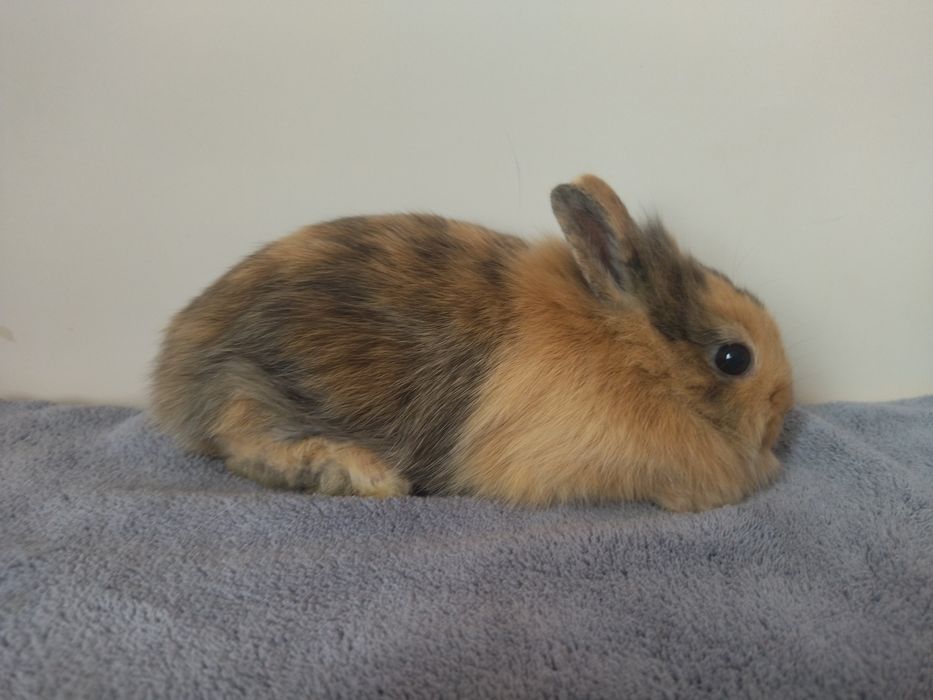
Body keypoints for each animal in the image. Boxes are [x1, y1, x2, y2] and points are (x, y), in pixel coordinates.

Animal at [150, 175, 793, 511]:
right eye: (734, 358)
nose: (783, 412)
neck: (632, 355)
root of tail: (172, 370)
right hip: (252, 387)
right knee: (245, 446)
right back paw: (361, 475)